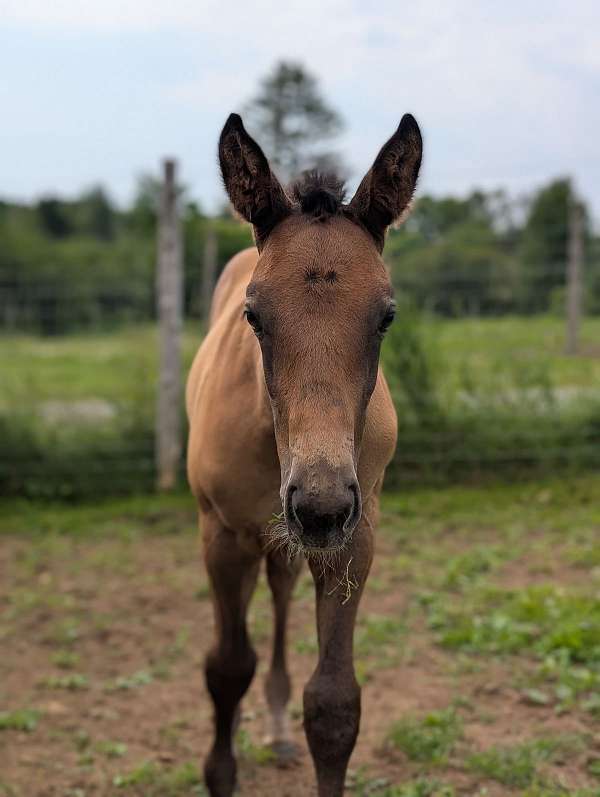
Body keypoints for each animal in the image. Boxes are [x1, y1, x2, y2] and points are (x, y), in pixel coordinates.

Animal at [186, 111, 422, 797]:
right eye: (253, 315)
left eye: (386, 316)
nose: (319, 505)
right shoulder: (222, 532)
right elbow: (226, 666)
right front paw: (221, 772)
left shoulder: (354, 535)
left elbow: (334, 704)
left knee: (281, 589)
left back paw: (275, 723)